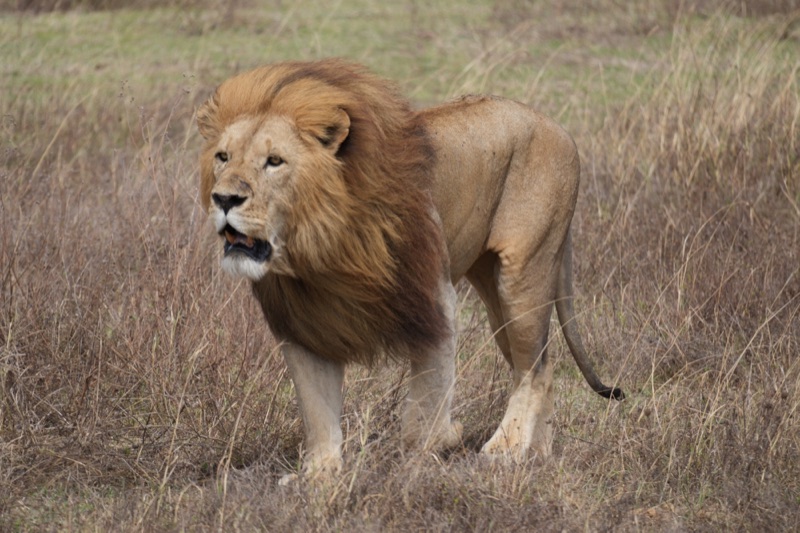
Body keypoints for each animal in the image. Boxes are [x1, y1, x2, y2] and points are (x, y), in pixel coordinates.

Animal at [196, 58, 623, 481]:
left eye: (274, 162)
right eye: (223, 157)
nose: (224, 199)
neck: (319, 253)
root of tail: (558, 127)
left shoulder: (434, 301)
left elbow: (423, 411)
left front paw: (431, 451)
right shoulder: (303, 325)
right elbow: (317, 410)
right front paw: (318, 476)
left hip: (523, 275)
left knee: (533, 370)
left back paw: (504, 450)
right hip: (494, 292)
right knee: (540, 366)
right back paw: (536, 456)